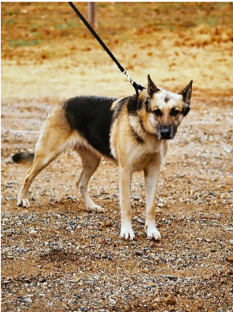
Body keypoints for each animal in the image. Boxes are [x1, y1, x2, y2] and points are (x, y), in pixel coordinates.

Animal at [11, 76, 192, 241]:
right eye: (157, 111)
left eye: (175, 112)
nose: (165, 133)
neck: (146, 130)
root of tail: (60, 103)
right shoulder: (126, 172)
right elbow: (126, 206)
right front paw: (127, 231)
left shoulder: (153, 172)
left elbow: (151, 206)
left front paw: (151, 230)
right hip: (46, 155)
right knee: (28, 176)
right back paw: (22, 199)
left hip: (93, 162)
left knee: (80, 183)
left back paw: (91, 206)